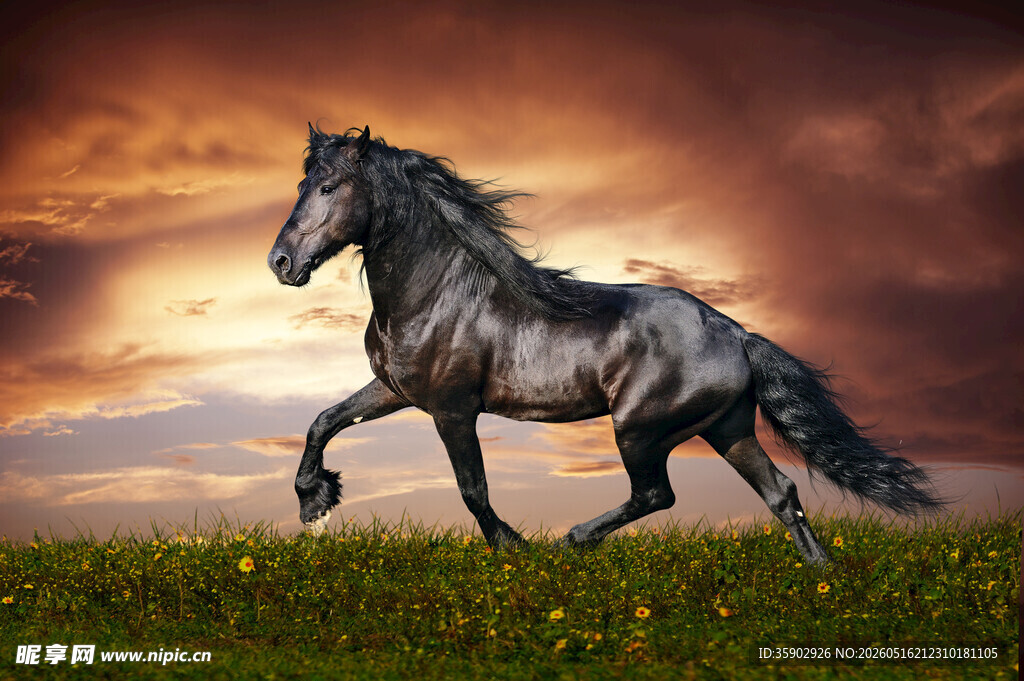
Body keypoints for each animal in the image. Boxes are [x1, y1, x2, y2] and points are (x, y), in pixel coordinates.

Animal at [268, 125, 943, 564]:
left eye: (329, 187)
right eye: (303, 184)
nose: (281, 263)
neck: (435, 292)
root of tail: (737, 334)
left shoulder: (452, 408)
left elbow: (472, 489)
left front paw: (514, 549)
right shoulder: (395, 389)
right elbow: (323, 420)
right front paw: (315, 502)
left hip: (639, 428)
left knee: (657, 494)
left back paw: (571, 541)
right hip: (727, 428)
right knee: (781, 493)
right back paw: (821, 578)